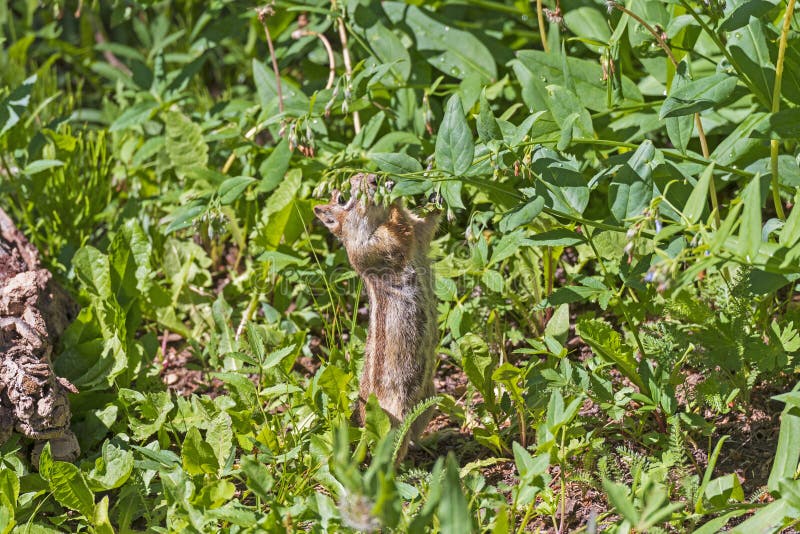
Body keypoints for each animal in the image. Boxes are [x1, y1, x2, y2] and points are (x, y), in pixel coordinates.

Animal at [314, 174, 440, 458]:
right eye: (341, 197)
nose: (374, 179)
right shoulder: (375, 248)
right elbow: (397, 235)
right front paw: (393, 200)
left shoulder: (420, 234)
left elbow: (426, 226)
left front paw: (432, 194)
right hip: (394, 418)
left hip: (428, 400)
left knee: (414, 435)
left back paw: (433, 441)